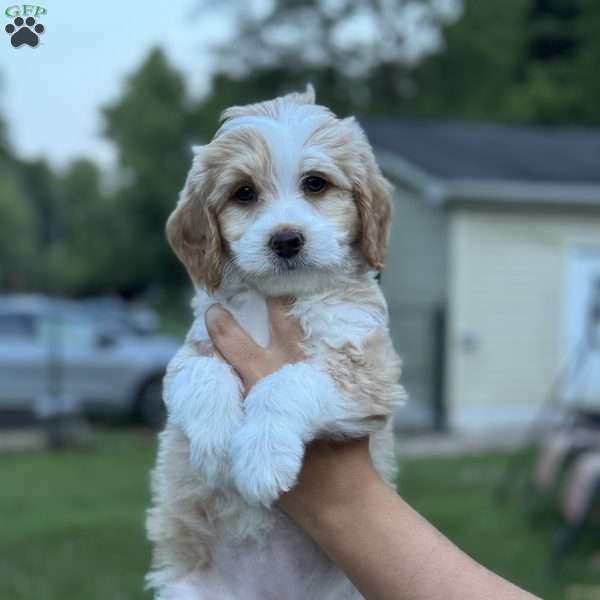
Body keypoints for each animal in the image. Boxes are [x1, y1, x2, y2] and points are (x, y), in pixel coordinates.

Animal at [145, 85, 404, 600]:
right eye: (244, 192)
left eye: (316, 184)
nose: (286, 240)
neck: (279, 297)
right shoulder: (199, 341)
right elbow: (204, 372)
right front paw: (217, 440)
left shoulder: (368, 368)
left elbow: (289, 381)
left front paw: (261, 455)